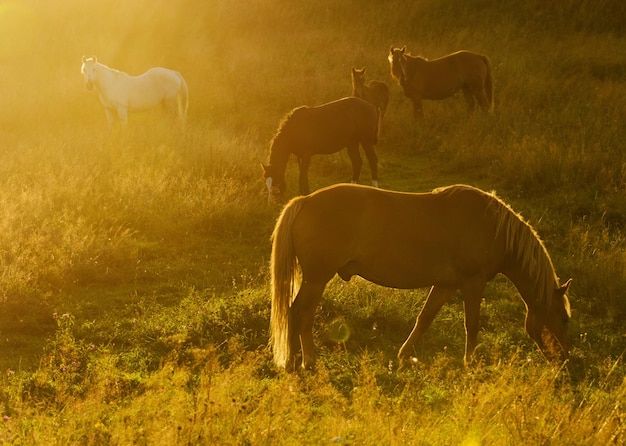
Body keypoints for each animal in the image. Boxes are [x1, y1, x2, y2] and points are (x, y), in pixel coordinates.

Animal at [268, 183, 572, 372]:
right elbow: (472, 325)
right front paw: (470, 363)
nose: (564, 361)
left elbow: (424, 319)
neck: (492, 227)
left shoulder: (446, 285)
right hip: (317, 279)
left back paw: (308, 361)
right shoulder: (473, 283)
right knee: (296, 313)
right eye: (564, 318)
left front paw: (404, 356)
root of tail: (305, 201)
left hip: (316, 281)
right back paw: (295, 363)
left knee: (305, 315)